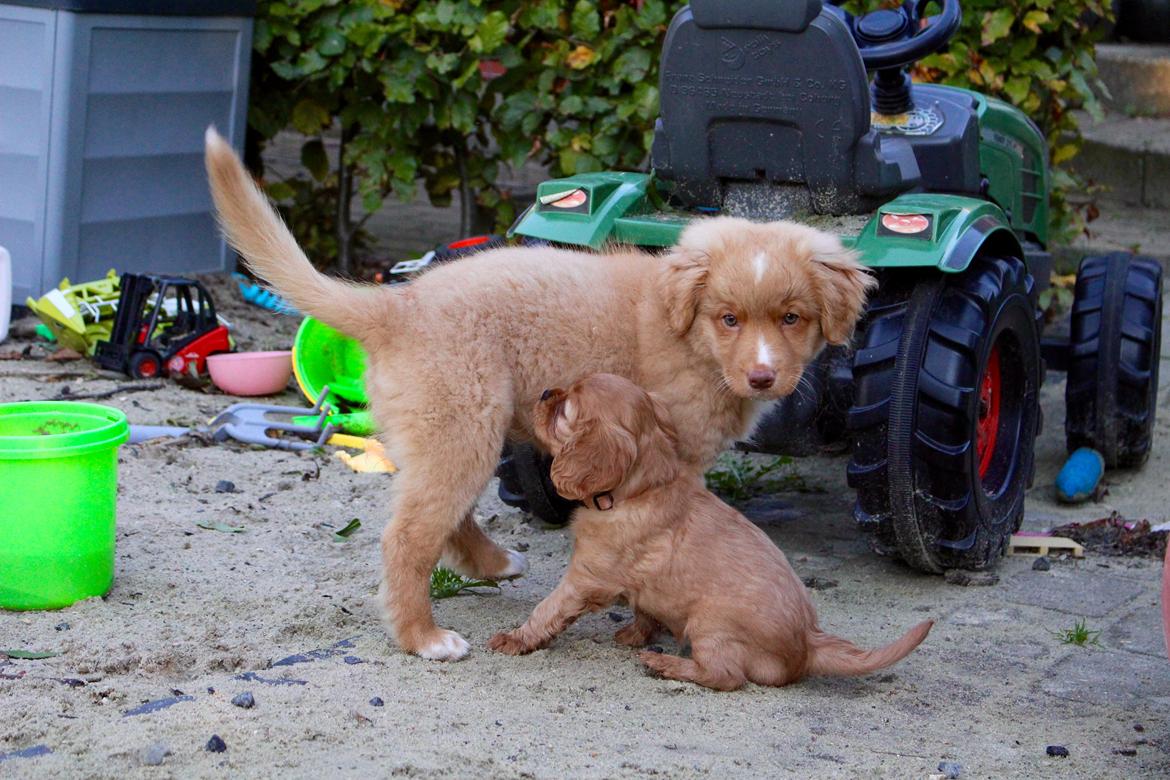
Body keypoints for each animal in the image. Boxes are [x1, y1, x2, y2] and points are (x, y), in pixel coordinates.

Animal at [203, 126, 879, 659]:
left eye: (791, 318)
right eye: (729, 319)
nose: (764, 377)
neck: (684, 330)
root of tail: (397, 305)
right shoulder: (677, 458)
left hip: (461, 429)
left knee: (446, 516)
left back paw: (495, 565)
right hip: (464, 425)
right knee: (409, 536)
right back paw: (424, 637)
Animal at [489, 374, 935, 692]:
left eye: (566, 406)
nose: (545, 391)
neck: (640, 489)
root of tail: (807, 645)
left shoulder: (585, 578)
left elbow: (547, 609)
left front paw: (515, 639)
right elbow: (645, 608)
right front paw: (636, 633)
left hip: (709, 625)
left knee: (725, 676)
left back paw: (665, 664)